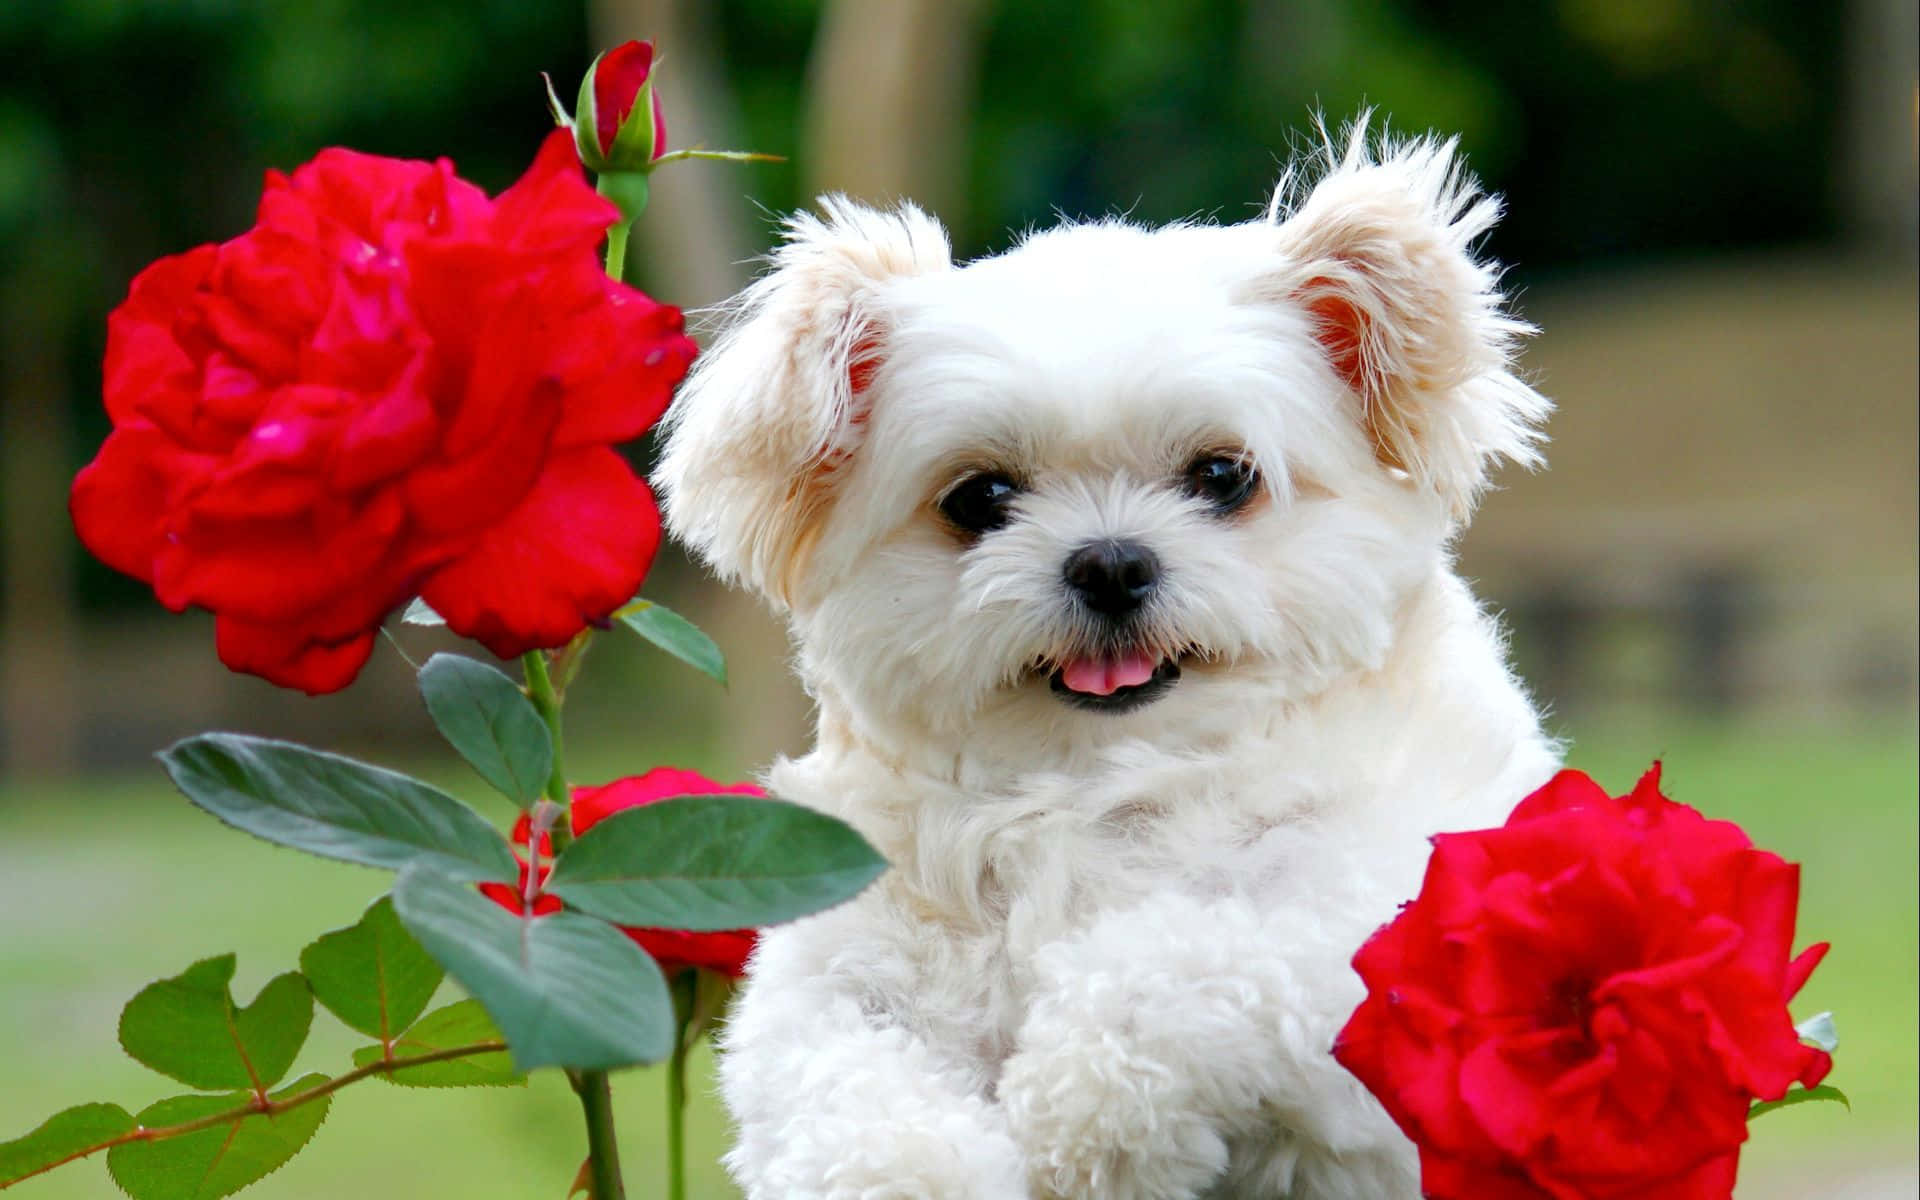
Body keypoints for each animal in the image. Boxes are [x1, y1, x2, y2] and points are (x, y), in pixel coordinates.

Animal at [656, 123, 1559, 1198]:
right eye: (979, 497)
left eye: (1224, 475)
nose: (1112, 563)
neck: (1095, 792)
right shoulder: (838, 968)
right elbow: (847, 1091)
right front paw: (930, 1170)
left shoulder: (1379, 916)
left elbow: (1183, 957)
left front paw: (1080, 1114)